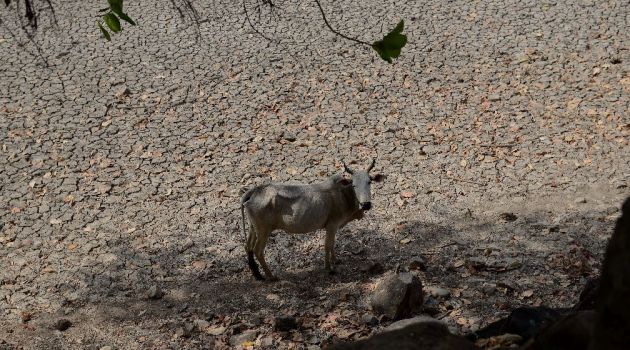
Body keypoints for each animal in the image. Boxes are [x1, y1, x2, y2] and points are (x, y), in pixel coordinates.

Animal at [241, 160, 386, 280]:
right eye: (354, 185)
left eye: (369, 182)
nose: (366, 204)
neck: (343, 195)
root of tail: (255, 190)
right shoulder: (332, 225)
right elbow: (328, 245)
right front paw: (329, 268)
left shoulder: (334, 227)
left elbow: (332, 244)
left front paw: (335, 260)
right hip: (264, 230)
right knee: (258, 250)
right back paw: (271, 276)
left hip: (253, 227)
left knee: (248, 246)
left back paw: (257, 274)